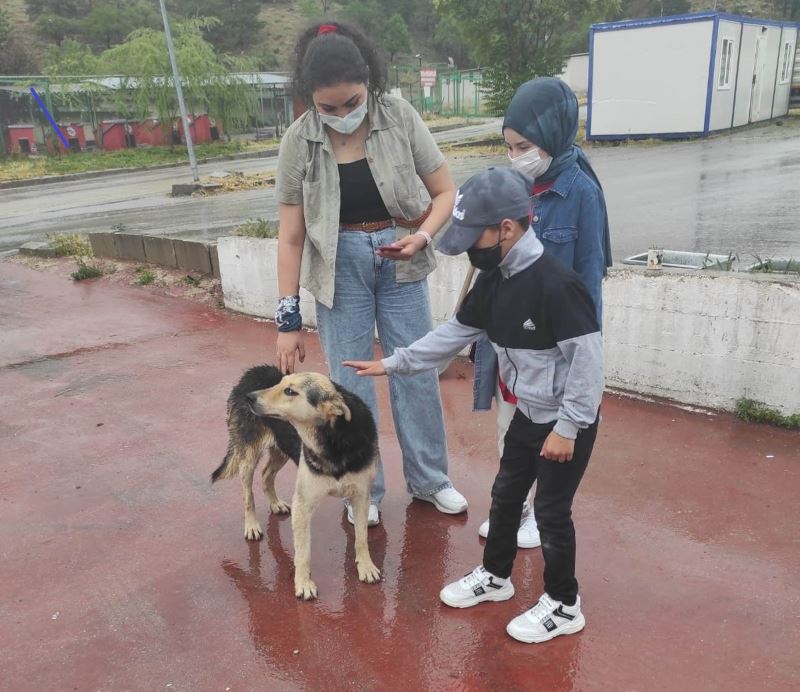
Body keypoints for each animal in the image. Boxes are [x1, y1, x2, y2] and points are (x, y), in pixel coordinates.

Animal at [209, 368, 378, 600]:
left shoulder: (361, 496)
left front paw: (366, 566)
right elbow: (303, 552)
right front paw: (304, 583)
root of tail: (251, 372)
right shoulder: (303, 504)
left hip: (281, 447)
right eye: (280, 384)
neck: (333, 441)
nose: (250, 398)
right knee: (248, 493)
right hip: (249, 455)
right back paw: (251, 526)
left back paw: (275, 503)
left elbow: (362, 537)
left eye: (289, 391)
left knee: (266, 474)